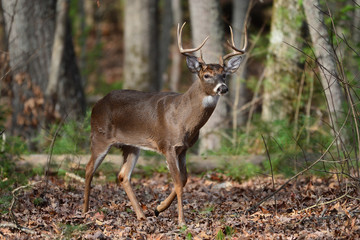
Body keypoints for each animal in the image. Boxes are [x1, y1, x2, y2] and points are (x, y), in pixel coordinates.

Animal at [84, 22, 248, 225]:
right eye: (207, 75)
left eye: (224, 74)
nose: (223, 88)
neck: (183, 119)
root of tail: (96, 105)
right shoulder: (167, 145)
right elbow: (177, 182)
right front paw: (181, 220)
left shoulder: (184, 148)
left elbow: (184, 179)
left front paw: (158, 208)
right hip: (99, 136)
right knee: (89, 169)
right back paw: (84, 211)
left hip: (131, 146)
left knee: (123, 175)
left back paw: (141, 215)